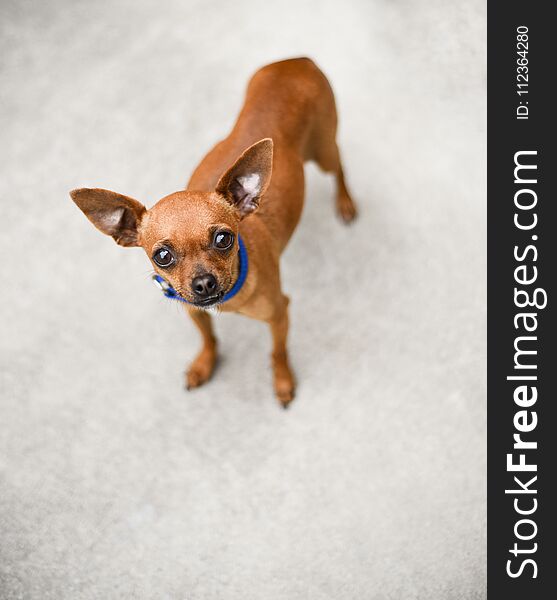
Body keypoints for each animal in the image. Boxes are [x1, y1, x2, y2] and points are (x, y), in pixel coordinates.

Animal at [71, 57, 356, 408]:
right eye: (162, 256)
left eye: (224, 239)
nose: (204, 283)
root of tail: (297, 61)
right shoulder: (194, 311)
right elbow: (208, 338)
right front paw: (204, 365)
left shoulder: (279, 314)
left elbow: (277, 352)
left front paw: (282, 381)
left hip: (324, 150)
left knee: (340, 166)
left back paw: (345, 202)